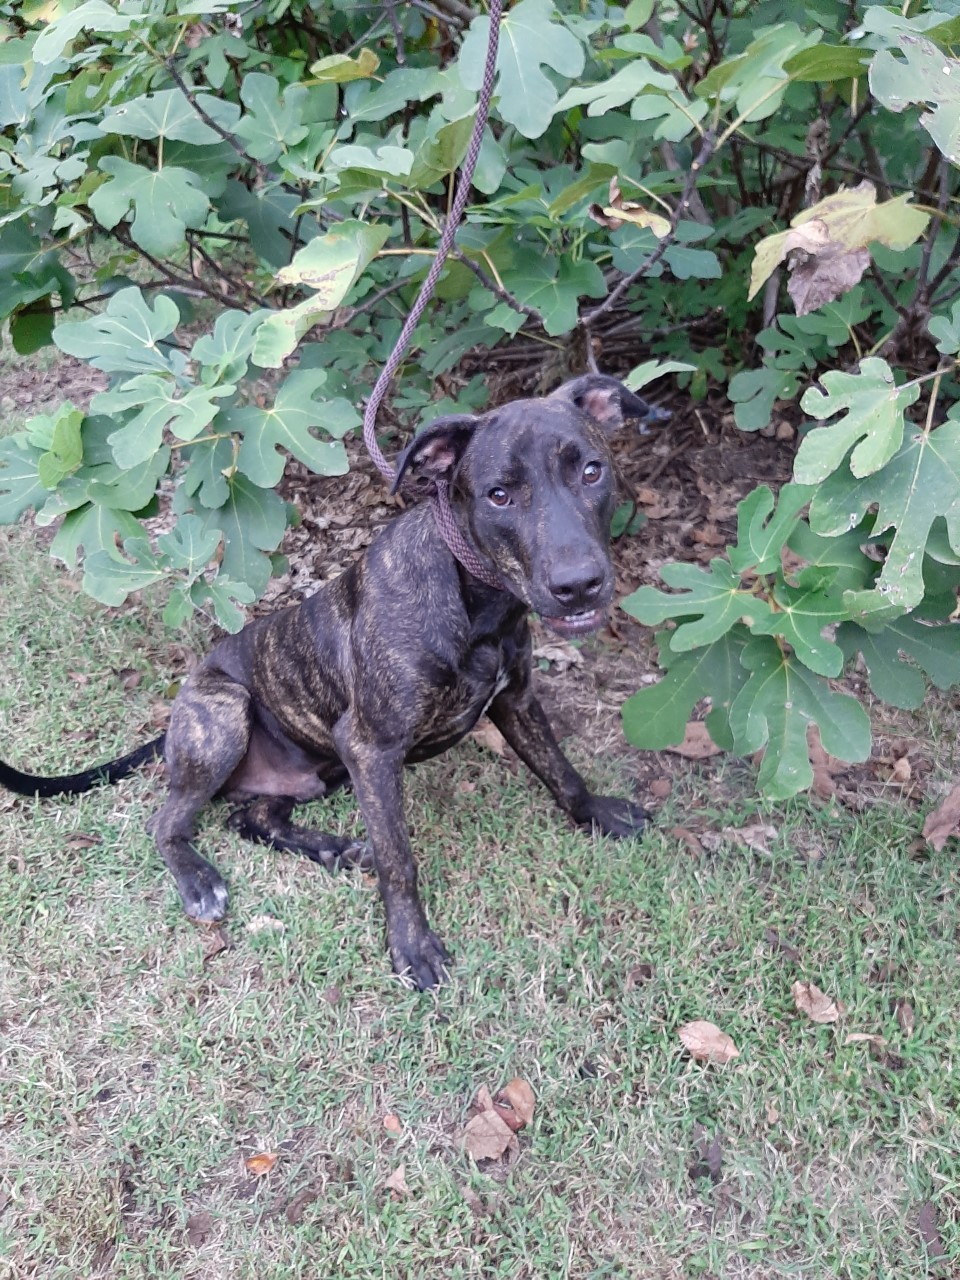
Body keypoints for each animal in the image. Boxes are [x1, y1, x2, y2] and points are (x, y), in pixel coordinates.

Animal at [0, 373, 660, 988]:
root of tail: (175, 722)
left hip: (319, 774)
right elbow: (399, 859)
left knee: (254, 821)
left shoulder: (516, 700)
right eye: (499, 495)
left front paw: (598, 813)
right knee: (165, 822)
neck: (478, 603)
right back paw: (201, 880)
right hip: (225, 718)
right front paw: (412, 944)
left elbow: (559, 768)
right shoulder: (372, 748)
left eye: (593, 471)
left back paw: (333, 847)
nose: (579, 585)